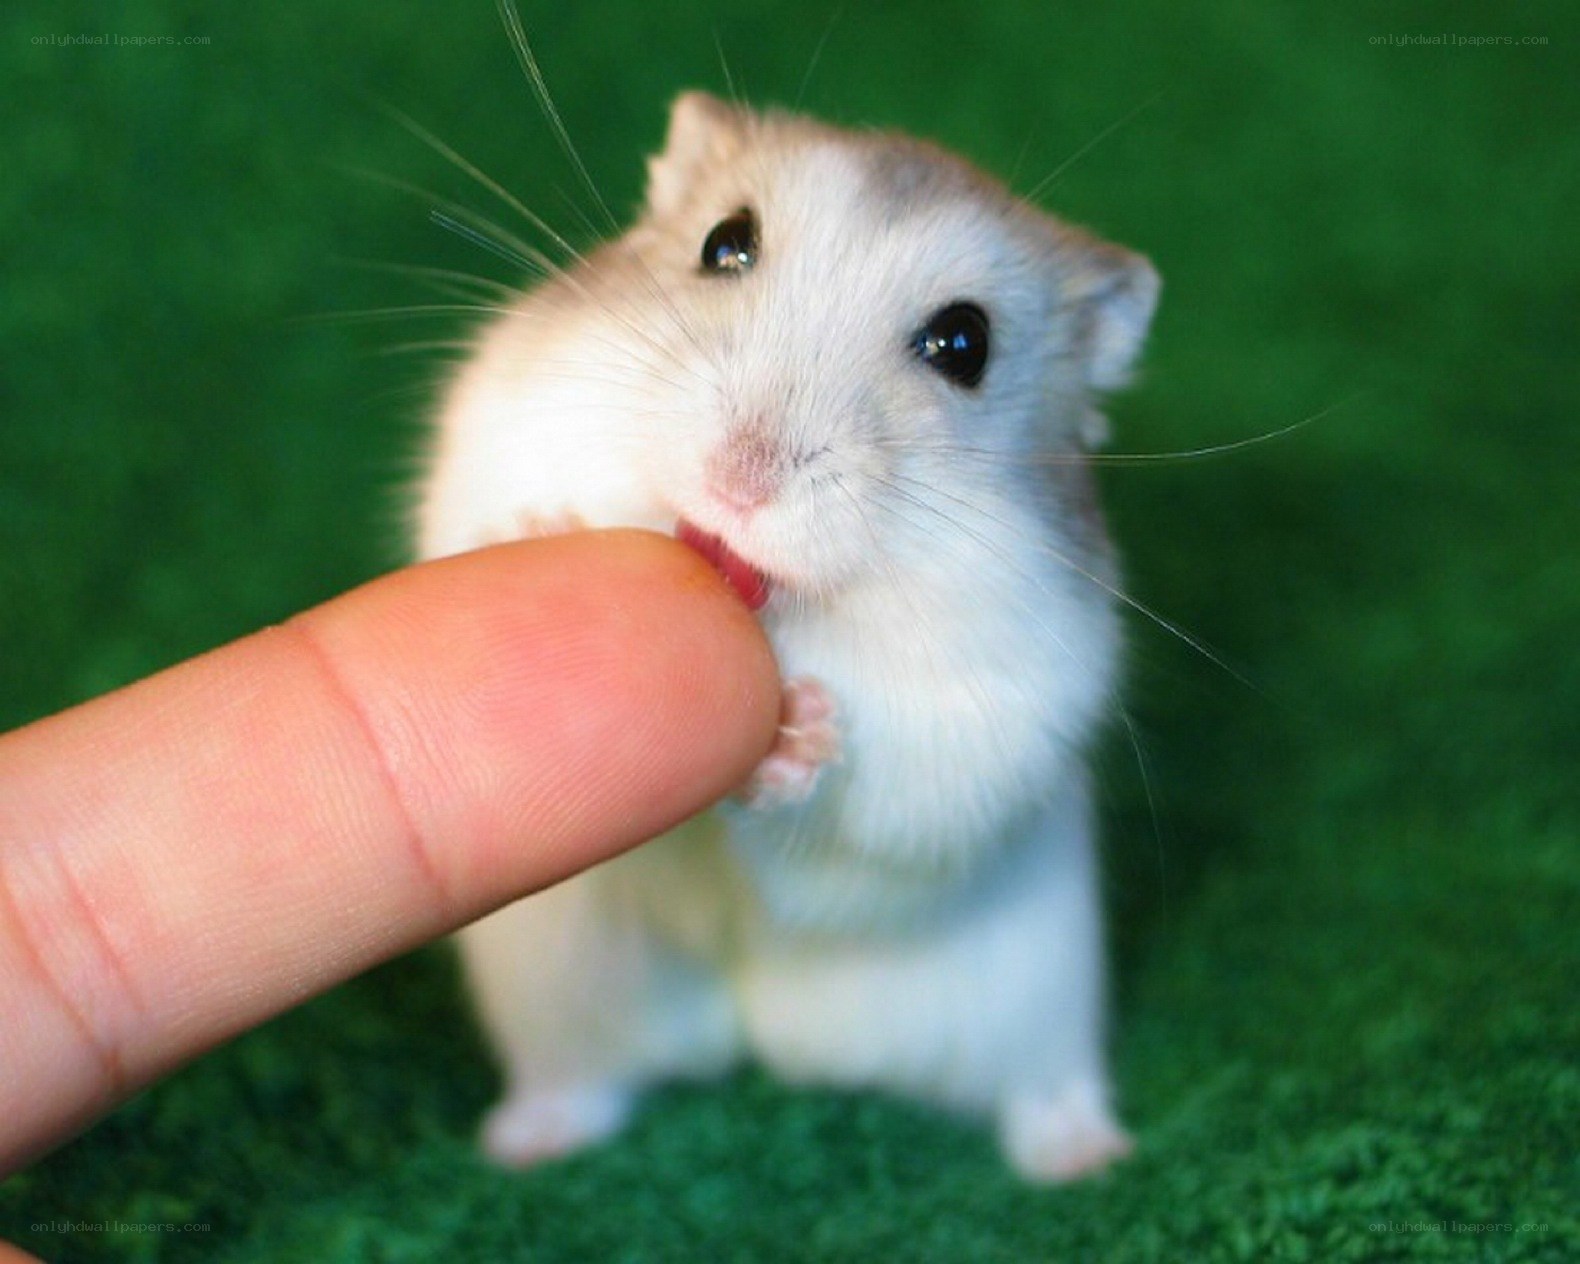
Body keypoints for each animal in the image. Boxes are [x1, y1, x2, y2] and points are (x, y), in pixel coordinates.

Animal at [415, 91, 1159, 1183]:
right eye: (725, 242)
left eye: (964, 344)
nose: (739, 480)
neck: (783, 609)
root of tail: (762, 1037)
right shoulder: (493, 434)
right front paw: (540, 534)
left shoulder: (1003, 709)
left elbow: (878, 795)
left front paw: (798, 733)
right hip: (558, 987)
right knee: (585, 1079)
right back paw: (520, 1145)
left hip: (1036, 998)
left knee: (1040, 1088)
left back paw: (1087, 1157)